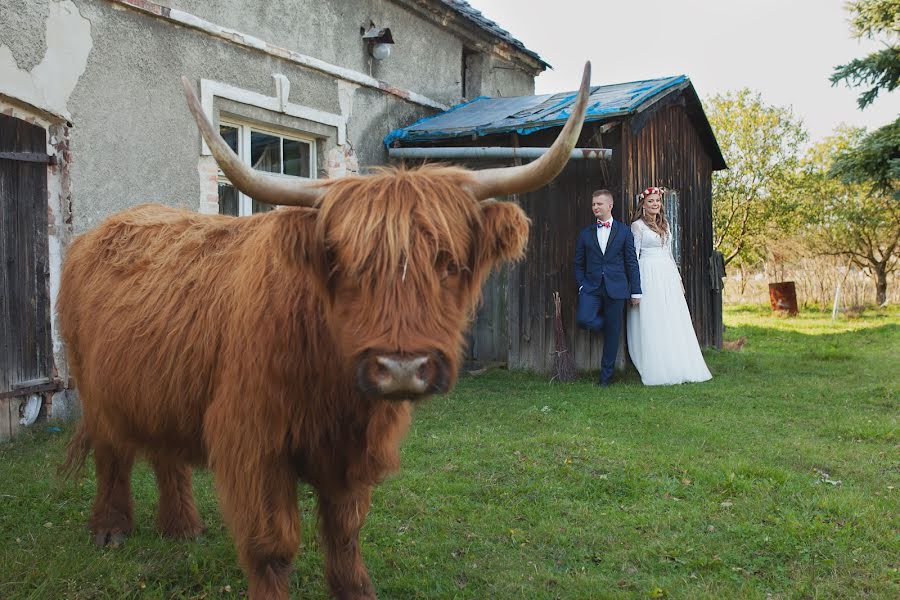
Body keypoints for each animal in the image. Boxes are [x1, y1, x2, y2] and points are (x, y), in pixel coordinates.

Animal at [56, 63, 592, 596]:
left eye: (449, 263)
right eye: (345, 265)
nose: (402, 368)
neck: (335, 393)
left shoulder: (351, 454)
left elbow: (345, 531)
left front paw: (356, 589)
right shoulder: (253, 445)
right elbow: (272, 546)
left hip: (163, 385)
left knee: (166, 452)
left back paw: (183, 526)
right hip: (94, 385)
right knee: (111, 451)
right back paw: (110, 527)